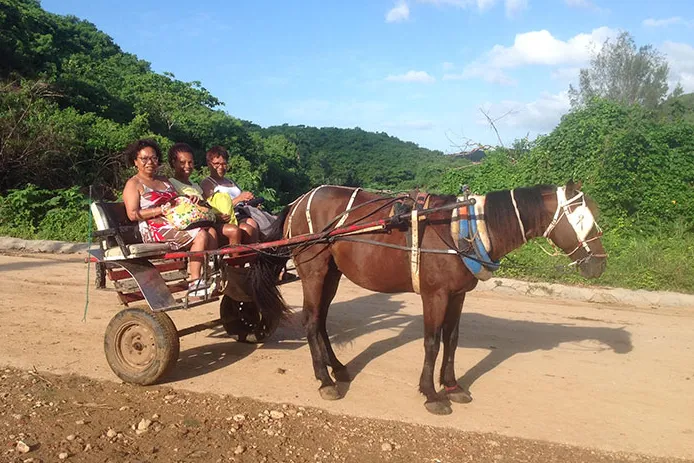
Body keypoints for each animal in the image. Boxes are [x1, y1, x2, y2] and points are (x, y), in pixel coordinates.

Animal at [251, 181, 608, 416]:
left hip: (332, 273)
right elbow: (432, 342)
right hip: (313, 270)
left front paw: (451, 386)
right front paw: (431, 394)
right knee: (312, 321)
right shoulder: (434, 295)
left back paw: (337, 367)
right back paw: (324, 380)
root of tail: (299, 200)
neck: (463, 228)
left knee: (323, 320)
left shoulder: (458, 295)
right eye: (582, 219)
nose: (600, 264)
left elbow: (451, 339)